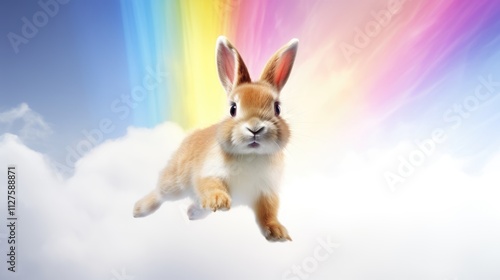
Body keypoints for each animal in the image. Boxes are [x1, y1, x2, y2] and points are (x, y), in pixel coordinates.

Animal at [133, 34, 296, 241]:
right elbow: (211, 186)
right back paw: (139, 209)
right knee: (160, 193)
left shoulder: (267, 192)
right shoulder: (209, 173)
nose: (255, 128)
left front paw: (278, 232)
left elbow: (268, 213)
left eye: (277, 108)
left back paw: (193, 212)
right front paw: (219, 202)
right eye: (233, 108)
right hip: (175, 182)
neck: (251, 156)